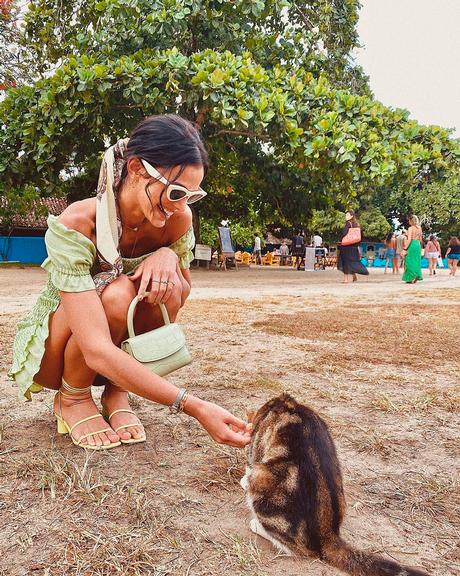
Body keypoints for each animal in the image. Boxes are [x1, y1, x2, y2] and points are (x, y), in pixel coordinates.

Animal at [241, 394, 432, 576]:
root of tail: (328, 533)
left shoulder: (255, 452)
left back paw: (257, 525)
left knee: (297, 550)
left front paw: (244, 479)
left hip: (262, 479)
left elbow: (250, 463)